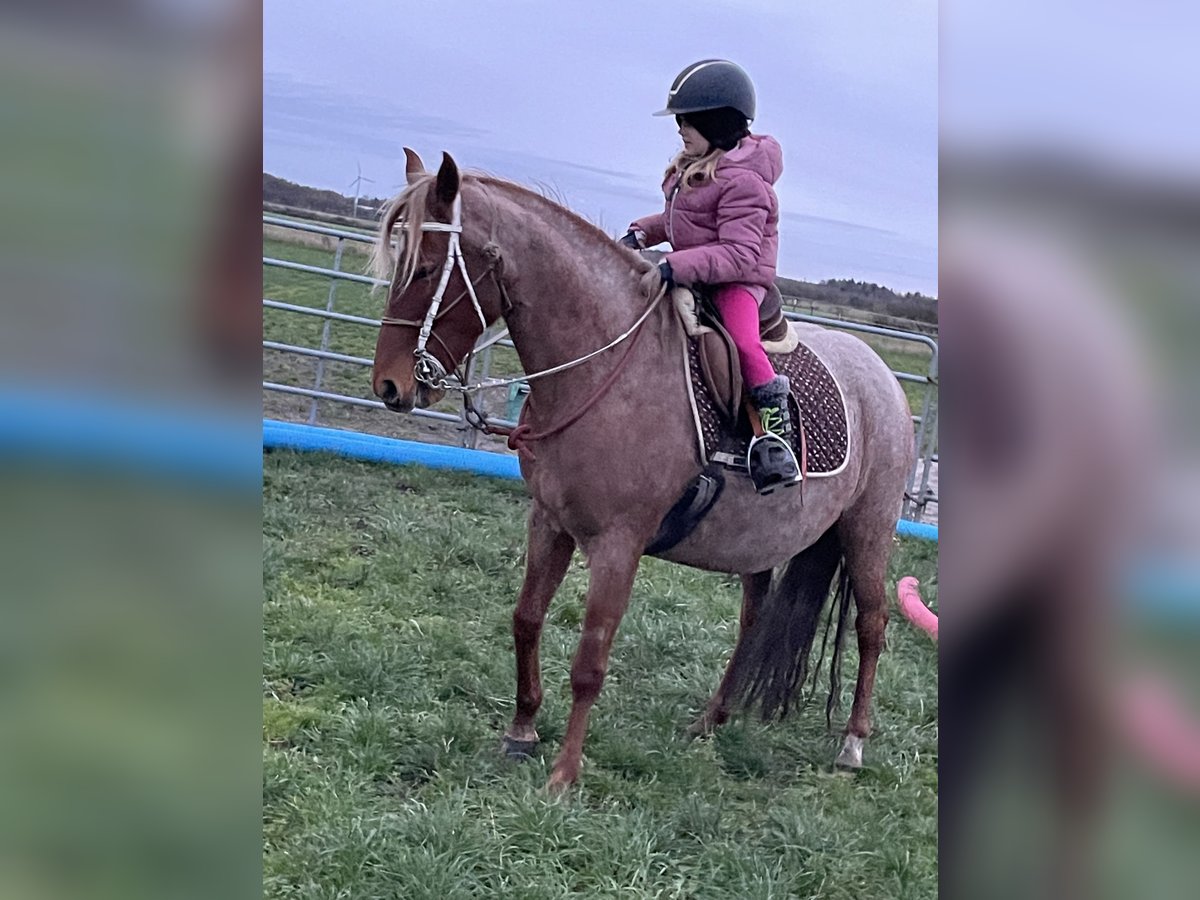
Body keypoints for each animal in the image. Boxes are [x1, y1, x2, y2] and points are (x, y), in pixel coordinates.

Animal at [369, 151, 912, 792]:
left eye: (427, 268)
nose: (390, 386)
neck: (601, 365)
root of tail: (883, 376)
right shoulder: (549, 520)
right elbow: (526, 619)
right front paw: (522, 731)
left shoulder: (618, 543)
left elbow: (590, 658)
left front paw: (564, 775)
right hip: (760, 540)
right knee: (753, 615)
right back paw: (712, 718)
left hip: (867, 530)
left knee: (873, 624)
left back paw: (852, 744)